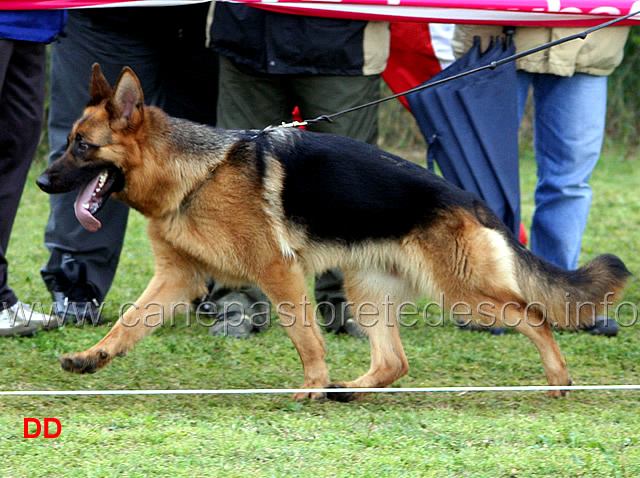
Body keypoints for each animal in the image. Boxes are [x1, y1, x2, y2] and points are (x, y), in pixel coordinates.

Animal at [36, 64, 632, 400]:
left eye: (82, 146)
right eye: (68, 141)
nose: (41, 181)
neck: (195, 172)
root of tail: (473, 201)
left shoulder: (277, 272)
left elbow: (306, 336)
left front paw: (312, 387)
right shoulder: (177, 279)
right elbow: (129, 323)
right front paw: (91, 357)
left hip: (464, 295)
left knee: (535, 316)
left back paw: (558, 381)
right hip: (369, 292)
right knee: (394, 361)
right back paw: (352, 391)